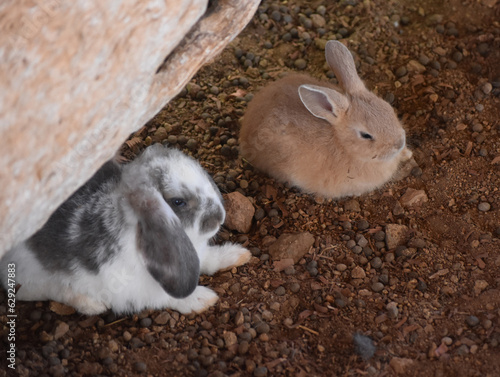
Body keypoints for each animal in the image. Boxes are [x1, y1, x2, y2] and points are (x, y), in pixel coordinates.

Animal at [0, 144, 250, 314]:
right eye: (178, 202)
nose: (220, 217)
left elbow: (209, 259)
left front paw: (237, 254)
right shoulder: (132, 289)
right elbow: (166, 297)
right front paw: (202, 299)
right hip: (29, 274)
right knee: (39, 291)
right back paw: (91, 304)